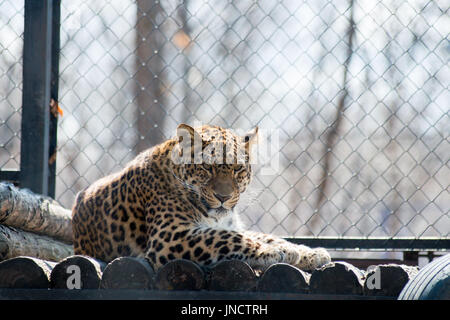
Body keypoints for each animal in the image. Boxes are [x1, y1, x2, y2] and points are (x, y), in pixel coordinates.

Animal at [71, 124, 330, 272]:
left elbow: (266, 235)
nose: (223, 197)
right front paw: (273, 252)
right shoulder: (170, 236)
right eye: (207, 167)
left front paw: (308, 252)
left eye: (238, 169)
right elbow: (227, 238)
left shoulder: (229, 223)